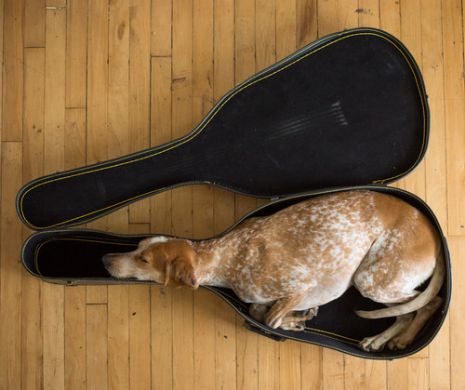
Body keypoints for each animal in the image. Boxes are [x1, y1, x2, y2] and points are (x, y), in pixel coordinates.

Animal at [101, 190, 442, 352]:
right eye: (137, 247)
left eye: (144, 260)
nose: (104, 259)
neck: (226, 255)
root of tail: (435, 234)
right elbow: (259, 310)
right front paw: (298, 319)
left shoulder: (300, 285)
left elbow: (269, 319)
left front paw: (293, 320)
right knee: (408, 311)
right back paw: (379, 340)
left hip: (370, 280)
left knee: (428, 303)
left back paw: (396, 339)